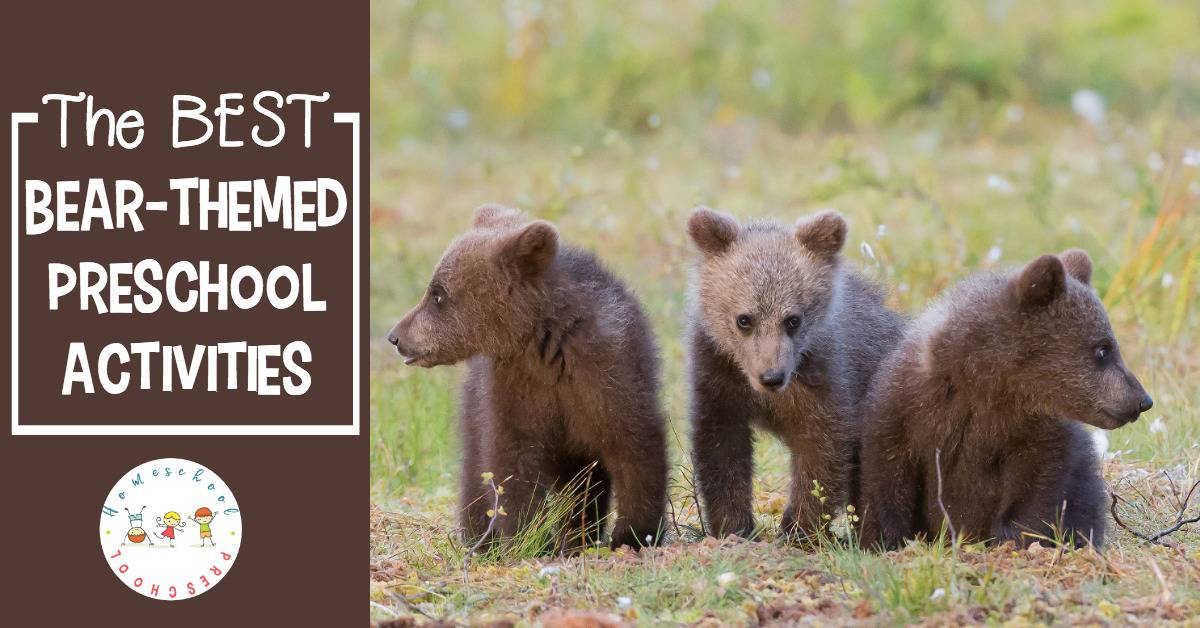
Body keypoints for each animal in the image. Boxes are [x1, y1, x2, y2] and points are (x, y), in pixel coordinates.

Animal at [387, 204, 668, 551]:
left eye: (437, 294)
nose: (395, 337)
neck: (540, 344)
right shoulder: (513, 388)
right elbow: (513, 460)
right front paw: (528, 537)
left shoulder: (608, 375)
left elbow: (635, 449)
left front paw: (633, 535)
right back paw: (483, 539)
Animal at [685, 207, 905, 540]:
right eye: (744, 319)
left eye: (793, 320)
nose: (771, 377)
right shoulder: (717, 372)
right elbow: (721, 448)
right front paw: (734, 526)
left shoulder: (827, 375)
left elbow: (821, 449)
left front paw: (798, 527)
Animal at [857, 249, 1154, 550]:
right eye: (1103, 349)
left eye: (1110, 345)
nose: (1143, 400)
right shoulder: (907, 409)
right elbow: (888, 475)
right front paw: (886, 539)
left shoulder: (1031, 432)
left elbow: (1039, 486)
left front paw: (1013, 538)